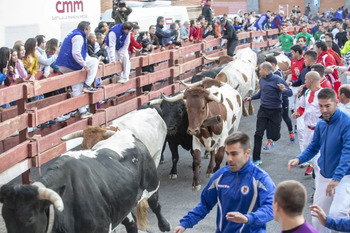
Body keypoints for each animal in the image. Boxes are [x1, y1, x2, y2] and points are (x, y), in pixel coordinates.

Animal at [0, 129, 170, 233]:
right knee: (131, 223)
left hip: (152, 185)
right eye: (5, 218)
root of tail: (127, 134)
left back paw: (165, 225)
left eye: (29, 219)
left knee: (156, 205)